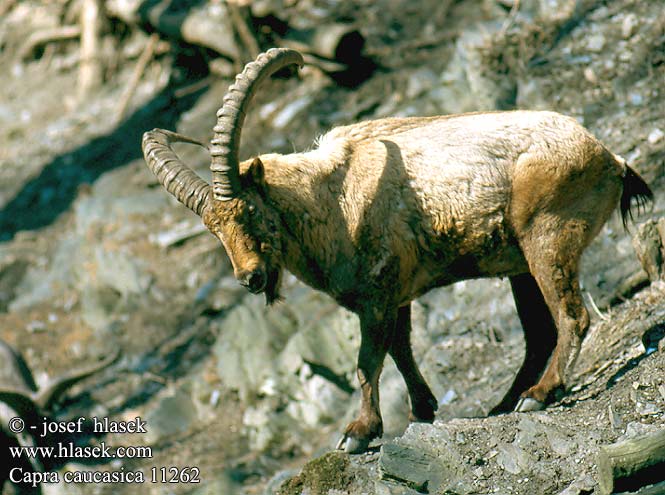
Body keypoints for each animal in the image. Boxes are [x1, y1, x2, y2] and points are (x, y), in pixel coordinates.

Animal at [141, 49, 652, 454]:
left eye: (248, 211)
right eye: (213, 230)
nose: (249, 278)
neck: (330, 201)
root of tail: (609, 158)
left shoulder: (378, 297)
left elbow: (367, 363)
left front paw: (358, 433)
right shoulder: (395, 295)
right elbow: (401, 350)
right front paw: (422, 411)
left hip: (547, 239)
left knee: (571, 317)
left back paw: (540, 394)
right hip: (519, 265)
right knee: (539, 333)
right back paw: (505, 402)